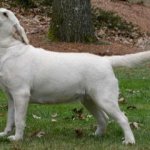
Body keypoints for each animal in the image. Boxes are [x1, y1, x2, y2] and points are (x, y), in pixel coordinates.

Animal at [0, 7, 149, 144]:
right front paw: (5, 134)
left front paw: (17, 138)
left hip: (105, 99)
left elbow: (18, 119)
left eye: (5, 14)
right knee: (103, 118)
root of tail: (106, 60)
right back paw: (96, 136)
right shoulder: (11, 97)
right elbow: (10, 118)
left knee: (123, 118)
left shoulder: (21, 94)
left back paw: (129, 141)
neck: (8, 49)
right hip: (89, 100)